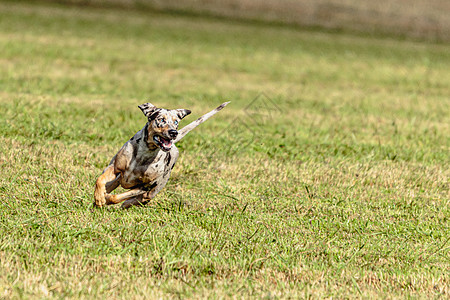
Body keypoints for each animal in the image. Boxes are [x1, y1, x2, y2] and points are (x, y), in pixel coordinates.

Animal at [93, 102, 230, 207]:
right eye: (161, 119)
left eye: (176, 122)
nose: (174, 132)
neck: (143, 155)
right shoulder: (115, 169)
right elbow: (100, 180)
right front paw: (99, 197)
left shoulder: (145, 187)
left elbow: (117, 197)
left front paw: (107, 199)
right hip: (116, 178)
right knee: (109, 184)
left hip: (153, 190)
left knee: (141, 198)